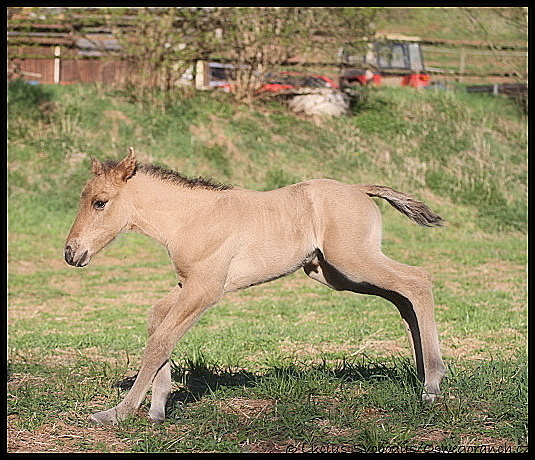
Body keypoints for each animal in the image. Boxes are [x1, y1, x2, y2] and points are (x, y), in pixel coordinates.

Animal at [63, 147, 448, 424]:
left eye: (100, 202)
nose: (71, 253)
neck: (193, 218)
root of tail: (357, 188)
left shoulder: (205, 290)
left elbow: (160, 341)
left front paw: (118, 413)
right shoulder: (187, 284)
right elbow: (156, 322)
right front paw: (158, 409)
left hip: (353, 261)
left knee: (418, 281)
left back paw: (431, 385)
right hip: (335, 274)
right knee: (402, 299)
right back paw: (421, 375)